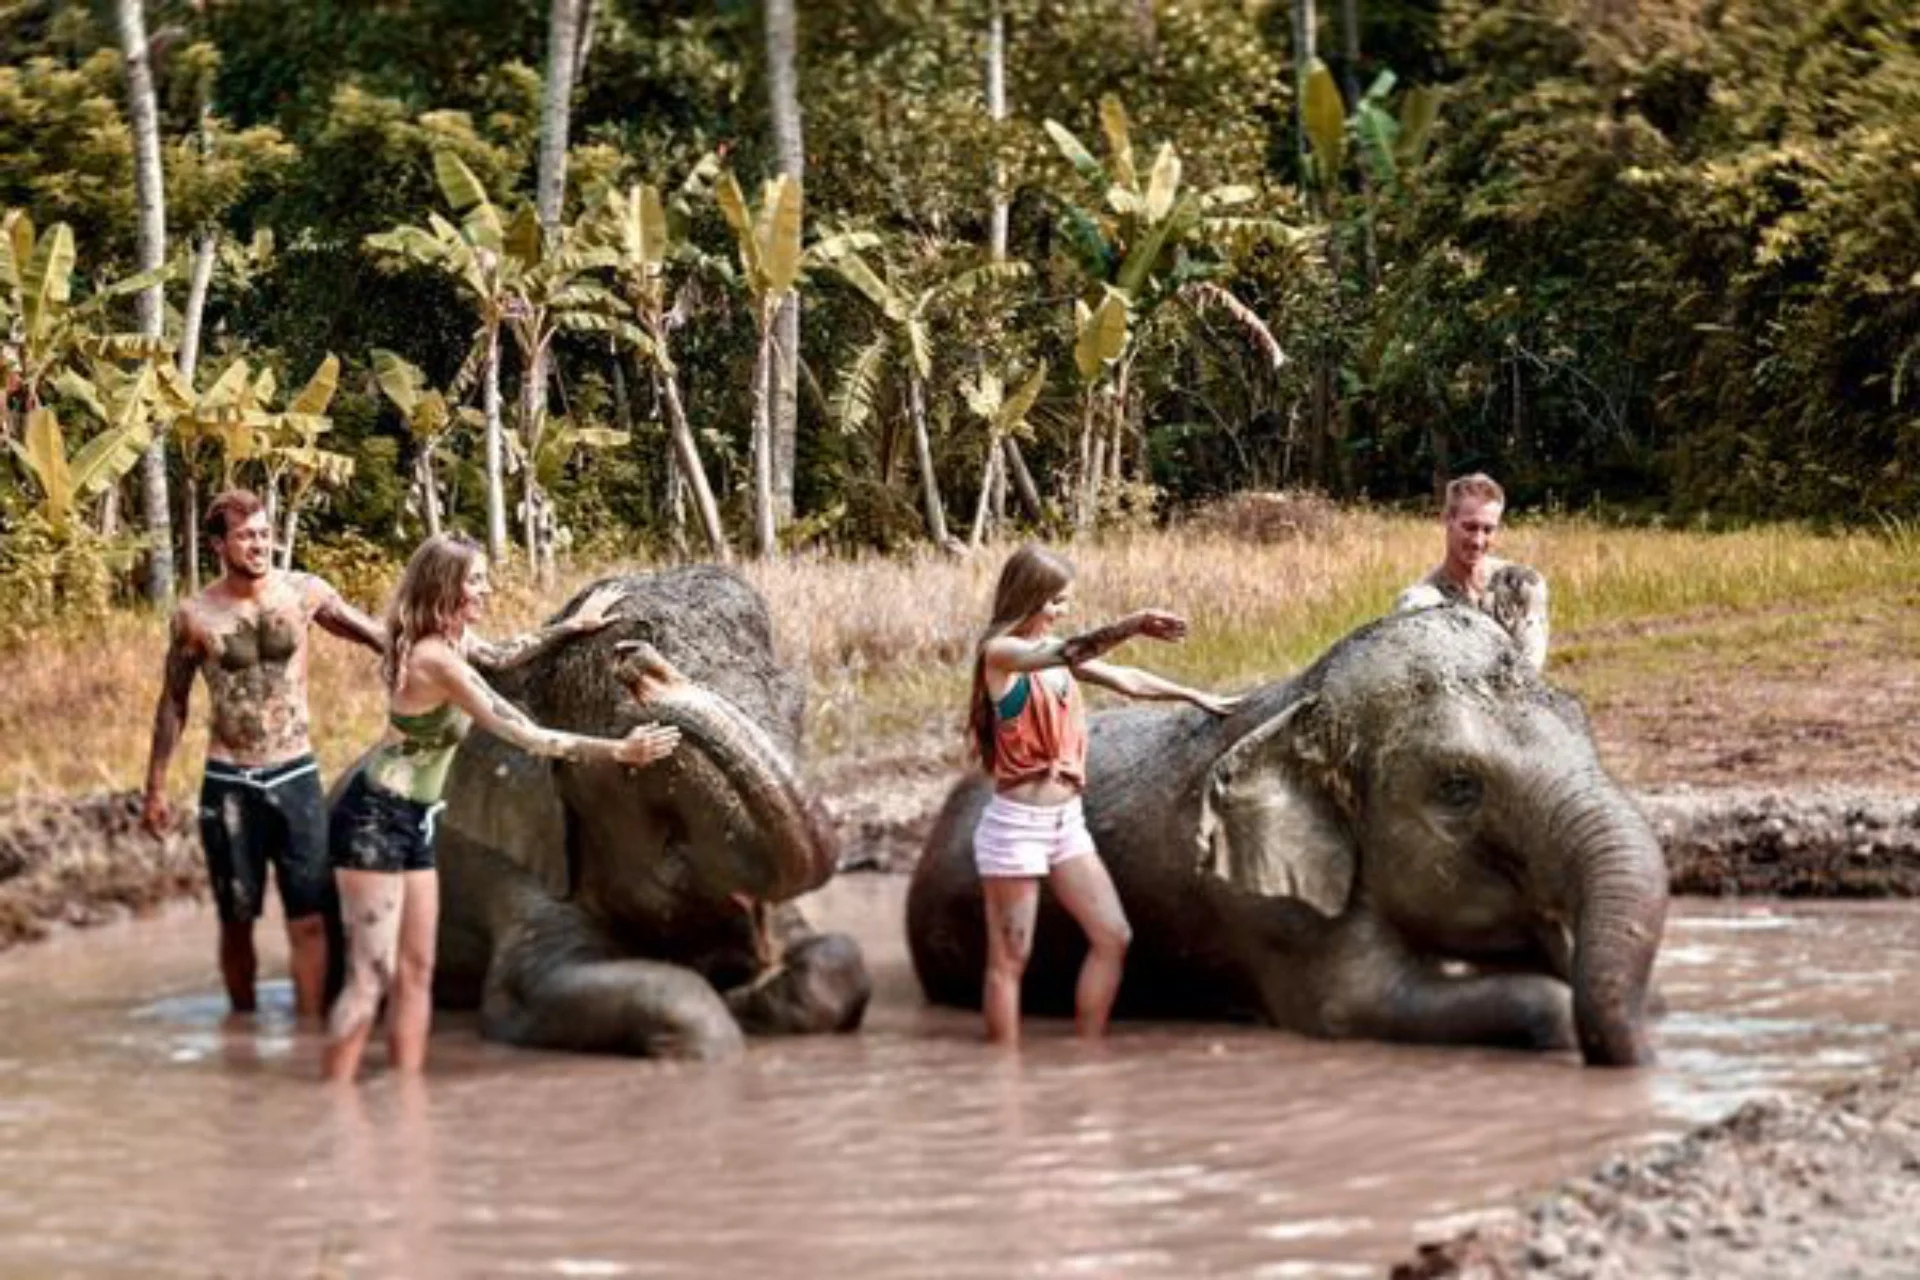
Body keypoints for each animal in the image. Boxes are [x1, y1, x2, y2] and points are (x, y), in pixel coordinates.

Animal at [419, 565, 871, 1060]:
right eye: (632, 758)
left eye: (798, 705)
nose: (637, 659)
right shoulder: (508, 864)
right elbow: (533, 986)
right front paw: (723, 1017)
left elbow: (837, 960)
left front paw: (747, 991)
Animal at [907, 603, 1668, 1066]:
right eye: (1458, 787)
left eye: (1583, 721)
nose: (1649, 1063)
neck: (1305, 703)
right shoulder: (1266, 907)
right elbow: (1353, 1003)